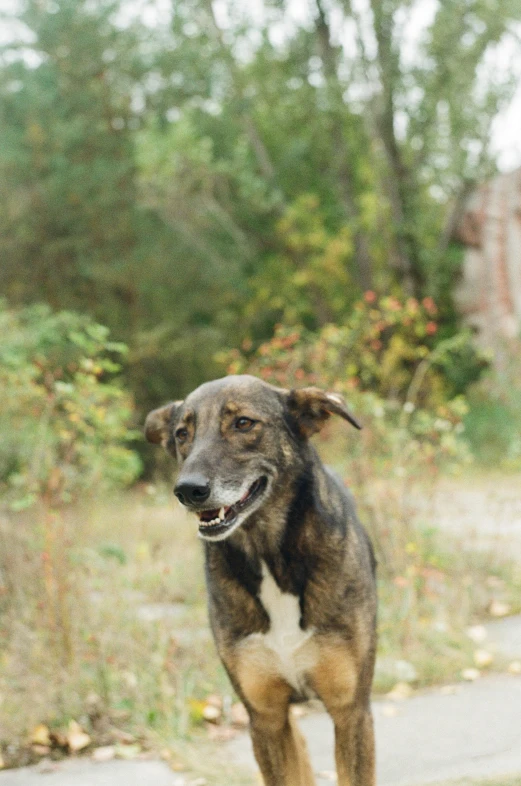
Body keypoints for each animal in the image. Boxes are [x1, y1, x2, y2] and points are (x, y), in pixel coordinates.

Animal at [144, 376, 376, 784]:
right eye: (182, 434)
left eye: (243, 424)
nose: (188, 490)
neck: (269, 554)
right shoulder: (265, 718)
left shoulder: (351, 712)